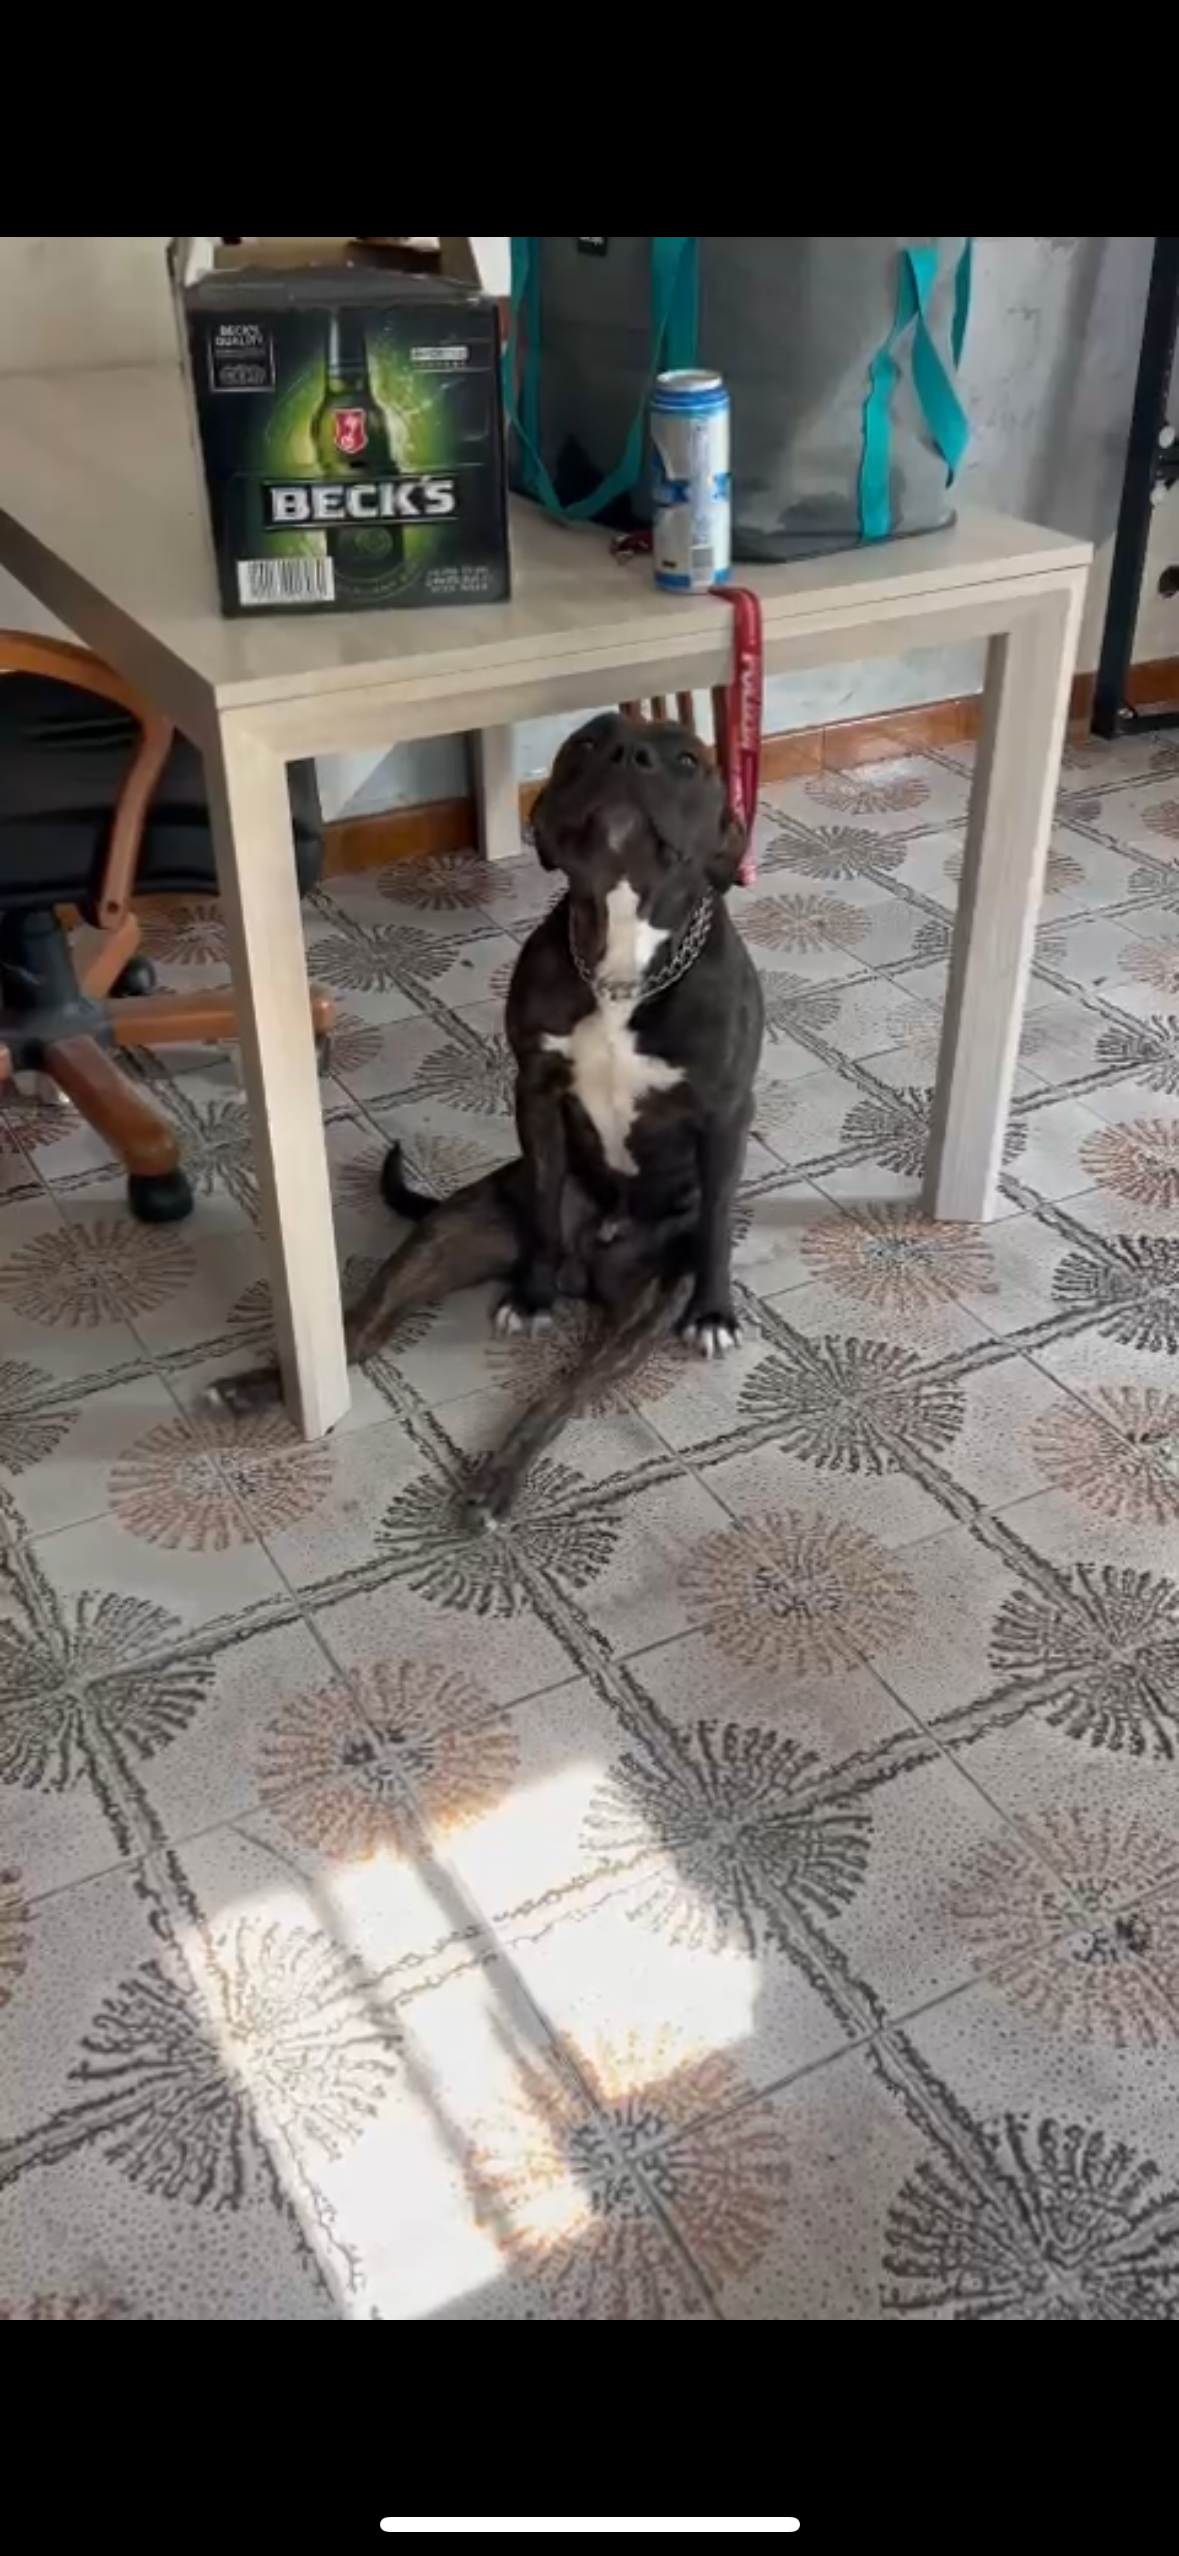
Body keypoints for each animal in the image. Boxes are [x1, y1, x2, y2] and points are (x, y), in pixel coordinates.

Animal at [209, 711, 764, 1523]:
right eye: (588, 741)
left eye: (689, 759)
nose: (628, 753)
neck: (622, 963)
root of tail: (586, 1265)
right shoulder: (532, 1092)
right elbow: (544, 1188)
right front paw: (530, 1295)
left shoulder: (725, 1112)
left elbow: (719, 1214)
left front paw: (715, 1312)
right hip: (447, 1232)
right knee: (361, 1329)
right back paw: (261, 1388)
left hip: (637, 1308)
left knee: (560, 1394)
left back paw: (495, 1484)